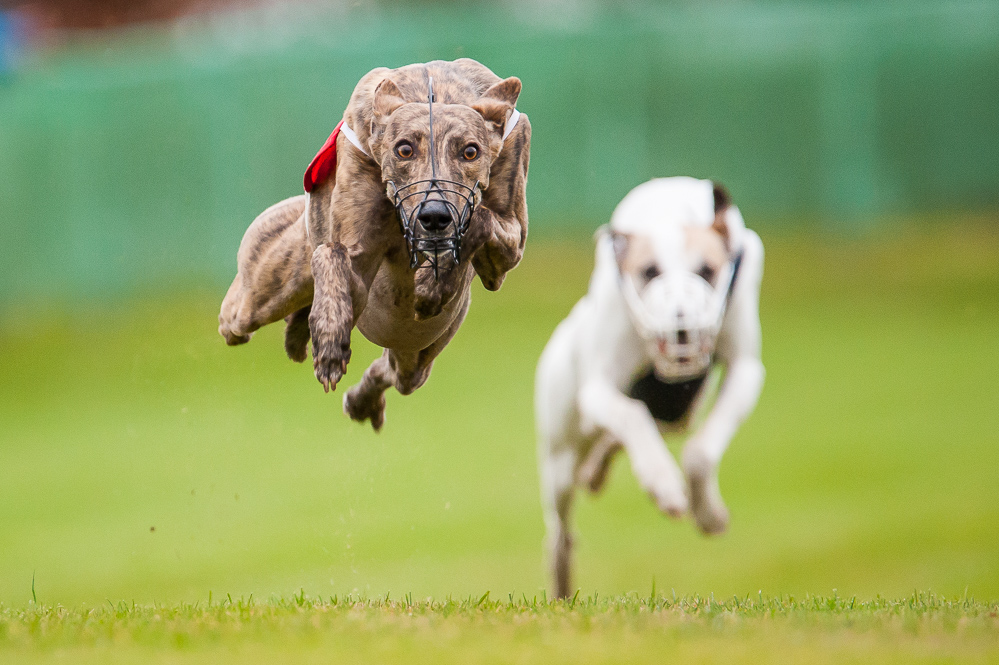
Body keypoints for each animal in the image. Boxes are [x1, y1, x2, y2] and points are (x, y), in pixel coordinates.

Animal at [219, 58, 532, 430]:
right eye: (404, 148)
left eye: (471, 151)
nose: (435, 216)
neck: (433, 91)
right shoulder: (353, 255)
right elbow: (333, 255)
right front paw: (329, 345)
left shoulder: (506, 248)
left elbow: (481, 221)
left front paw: (433, 287)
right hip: (260, 295)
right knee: (236, 318)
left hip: (418, 343)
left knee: (398, 372)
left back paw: (360, 399)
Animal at [540, 176, 764, 596]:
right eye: (649, 272)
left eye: (707, 270)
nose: (682, 325)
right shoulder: (598, 389)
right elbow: (631, 414)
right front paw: (664, 485)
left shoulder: (746, 370)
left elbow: (700, 453)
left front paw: (708, 514)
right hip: (558, 459)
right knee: (560, 532)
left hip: (677, 413)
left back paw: (597, 470)